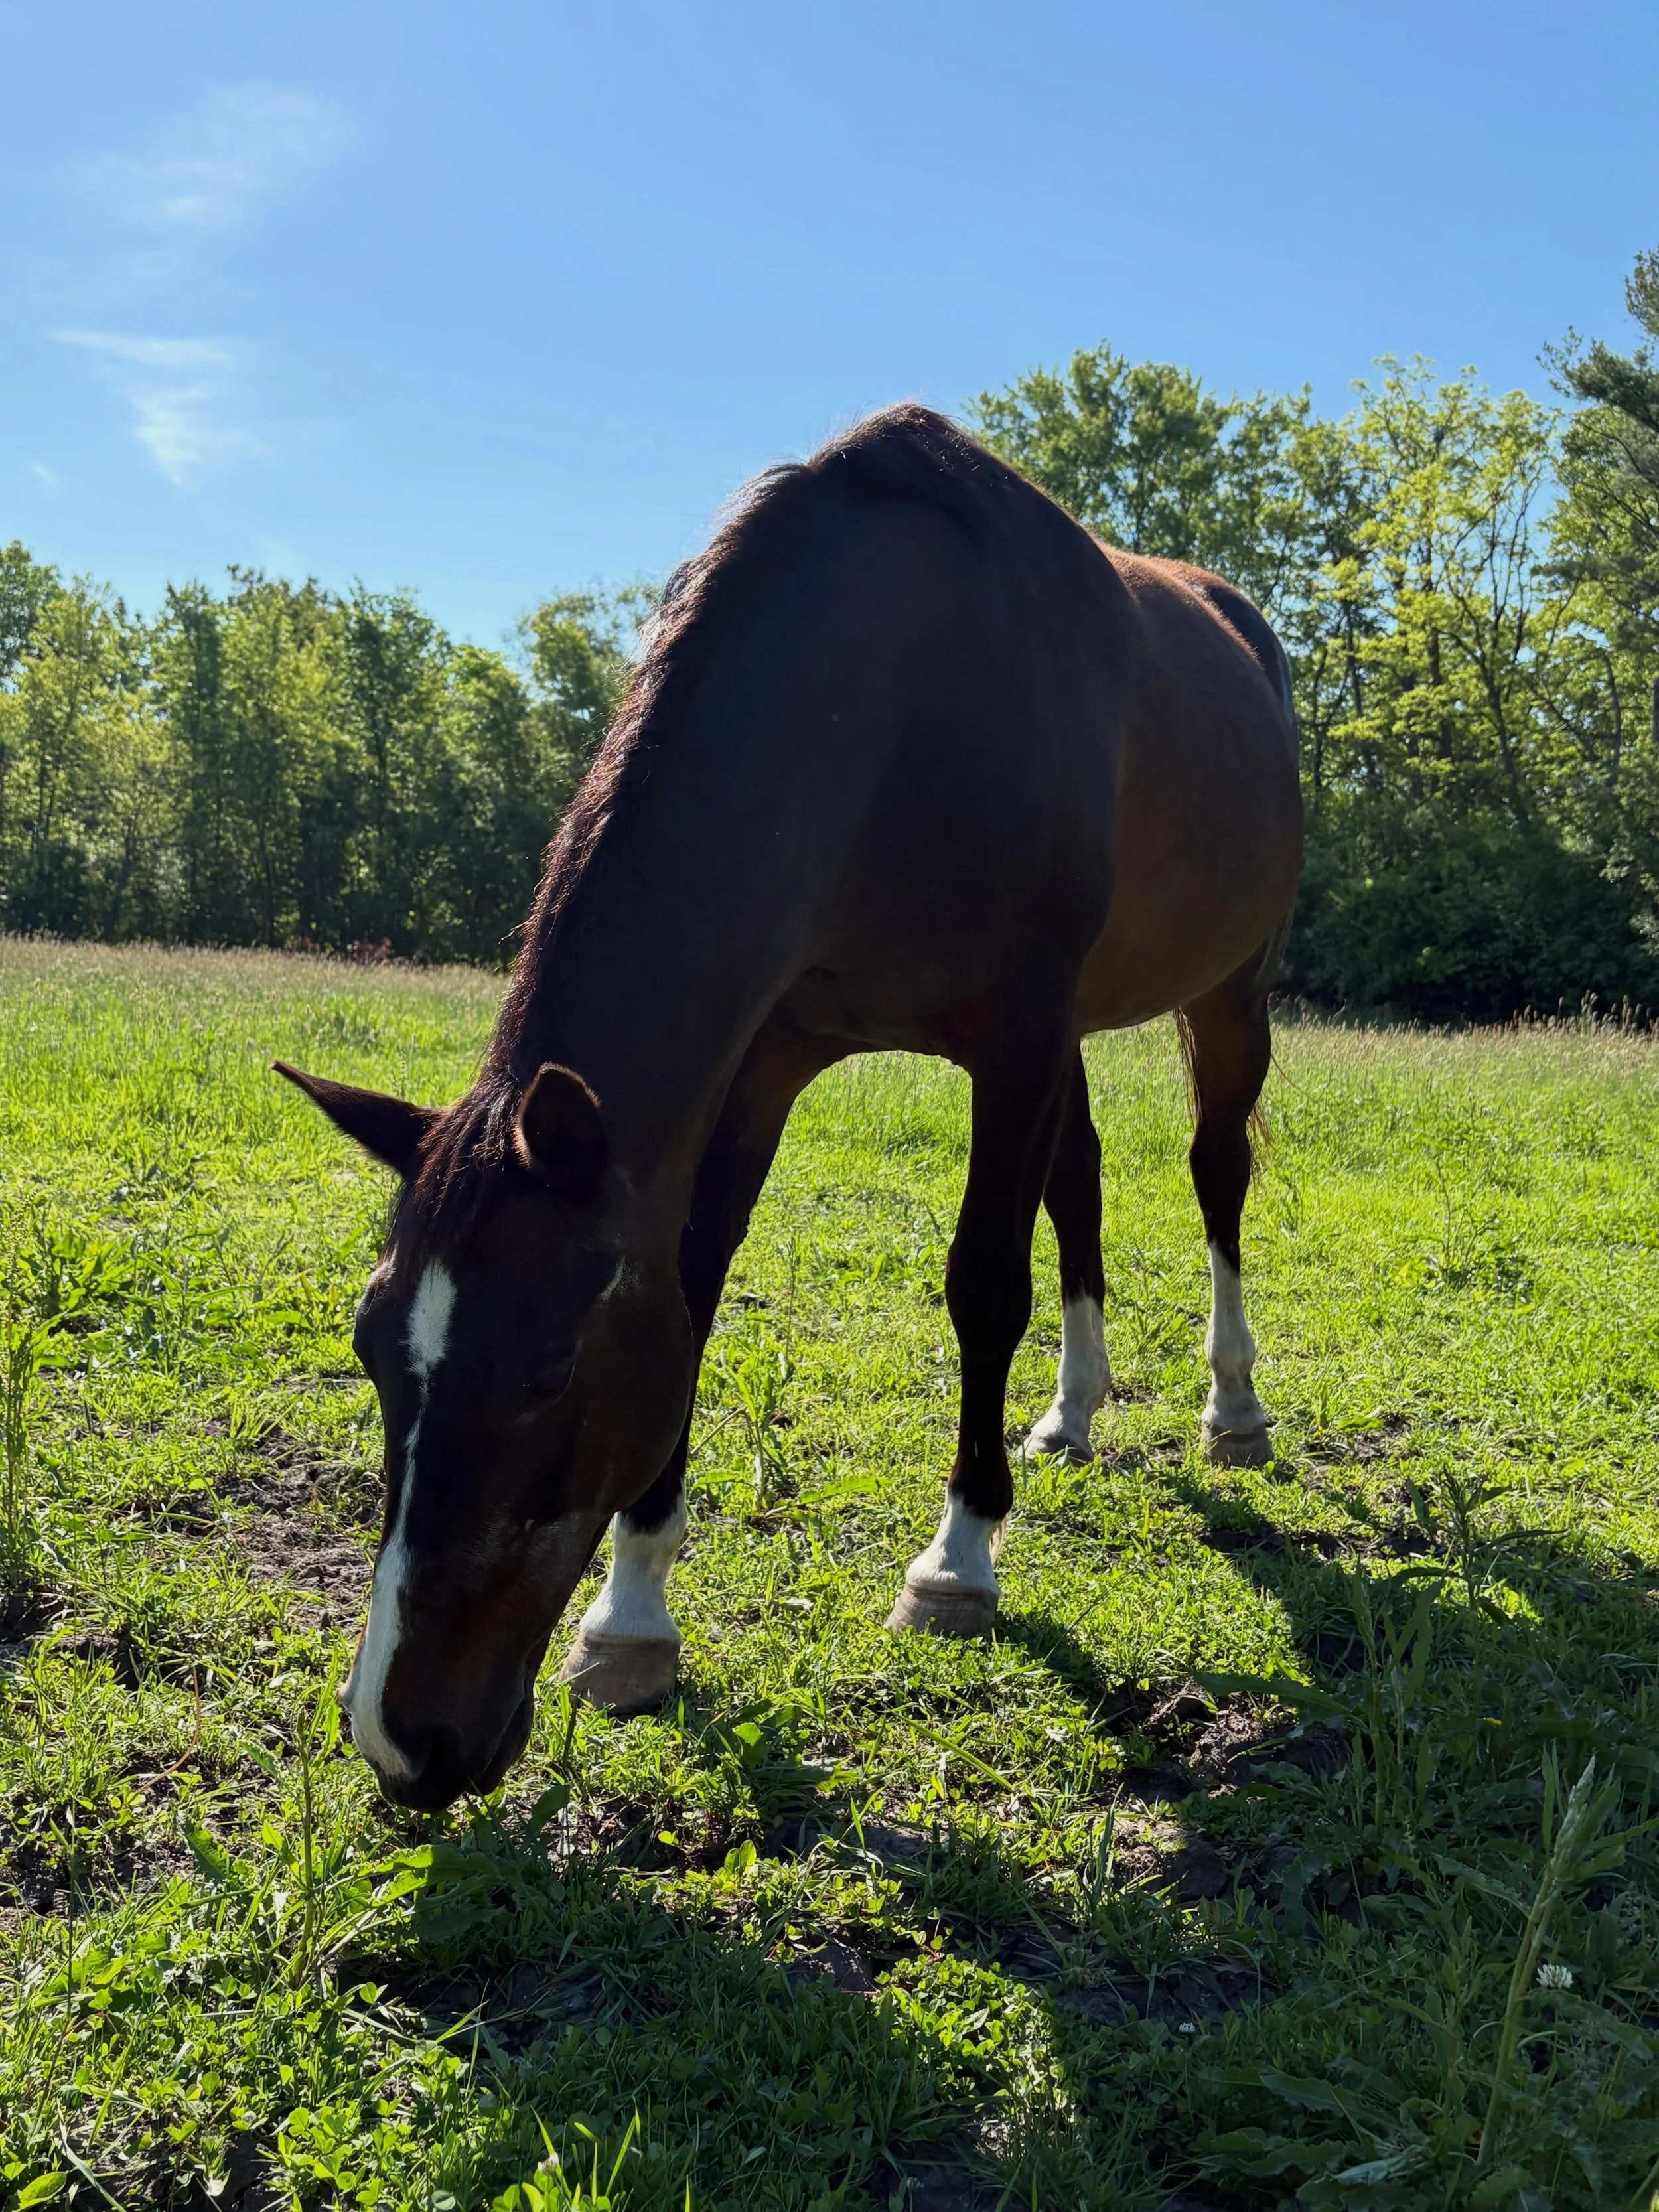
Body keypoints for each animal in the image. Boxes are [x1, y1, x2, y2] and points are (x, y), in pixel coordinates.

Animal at [276, 404, 1303, 1811]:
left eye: (545, 1368)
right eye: (374, 1347)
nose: (403, 1740)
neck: (895, 699)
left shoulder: (1017, 1036)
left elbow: (985, 1280)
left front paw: (957, 1561)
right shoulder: (766, 1057)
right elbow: (694, 1290)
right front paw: (632, 1619)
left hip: (1228, 990)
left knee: (1213, 1175)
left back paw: (1232, 1409)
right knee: (1081, 1181)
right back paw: (1075, 1409)